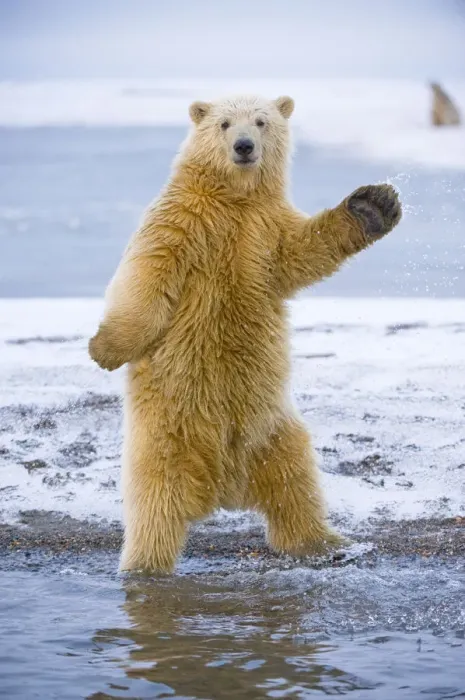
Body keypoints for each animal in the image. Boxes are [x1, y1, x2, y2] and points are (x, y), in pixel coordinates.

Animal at [89, 94, 402, 573]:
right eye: (223, 123)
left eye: (260, 121)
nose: (243, 146)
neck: (233, 199)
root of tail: (224, 488)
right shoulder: (182, 220)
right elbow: (148, 277)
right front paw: (103, 348)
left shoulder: (266, 230)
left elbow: (302, 252)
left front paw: (373, 205)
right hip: (169, 428)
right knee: (154, 498)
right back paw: (145, 564)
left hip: (270, 430)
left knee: (297, 480)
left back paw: (326, 543)